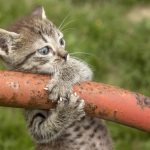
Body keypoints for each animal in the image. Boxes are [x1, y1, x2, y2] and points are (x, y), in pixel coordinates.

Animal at [0, 6, 112, 150]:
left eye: (61, 41)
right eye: (44, 51)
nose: (65, 55)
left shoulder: (84, 71)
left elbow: (76, 67)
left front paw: (60, 84)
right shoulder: (30, 107)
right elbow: (42, 131)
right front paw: (66, 112)